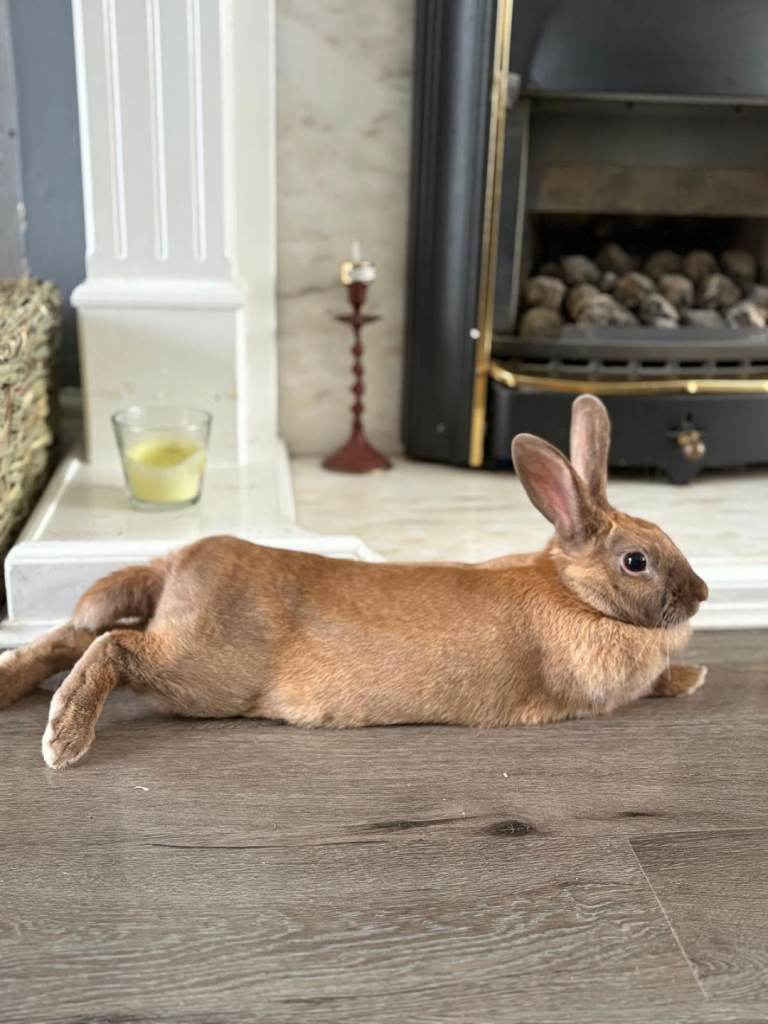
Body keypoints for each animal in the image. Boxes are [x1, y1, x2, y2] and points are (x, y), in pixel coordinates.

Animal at [0, 394, 708, 769]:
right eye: (637, 561)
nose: (701, 595)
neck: (574, 594)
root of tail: (178, 562)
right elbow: (651, 684)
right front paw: (691, 678)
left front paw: (692, 673)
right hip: (202, 671)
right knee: (111, 648)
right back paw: (63, 741)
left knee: (72, 635)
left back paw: (10, 685)